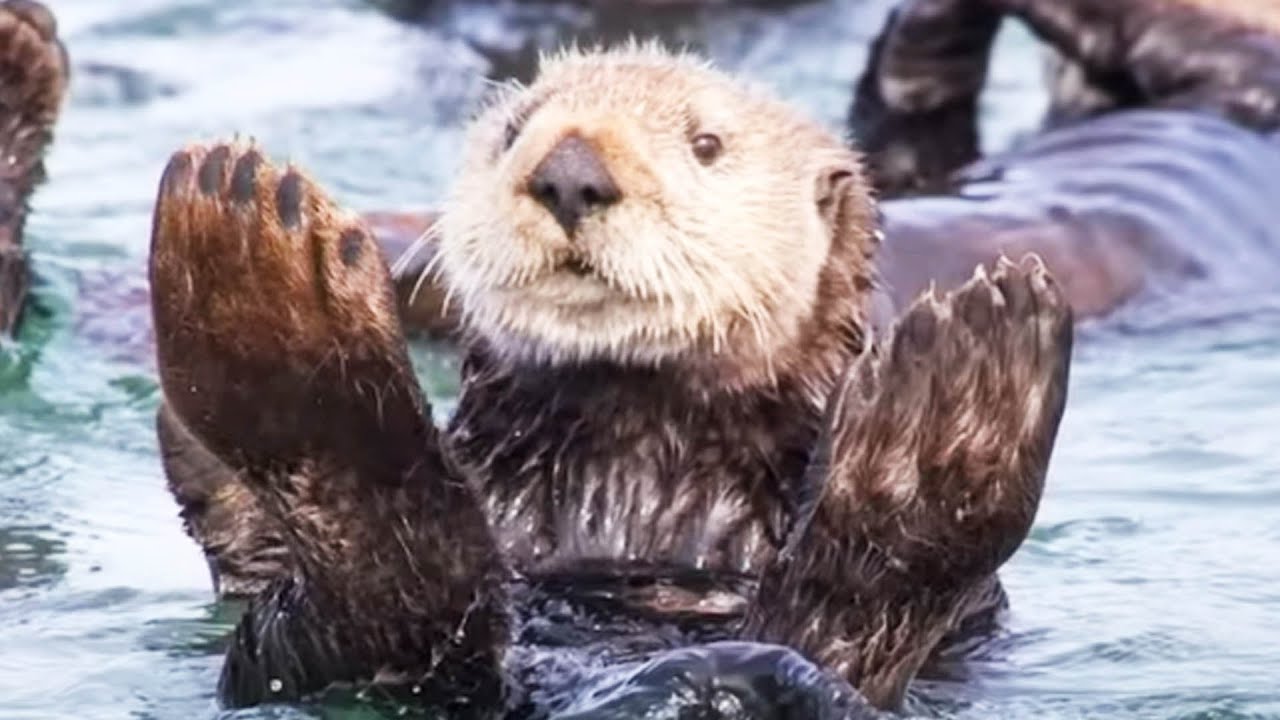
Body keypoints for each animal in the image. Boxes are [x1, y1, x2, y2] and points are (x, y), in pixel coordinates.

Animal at [149, 44, 1072, 715]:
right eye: (515, 130)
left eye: (707, 144)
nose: (570, 172)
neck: (631, 485)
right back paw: (253, 276)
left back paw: (953, 406)